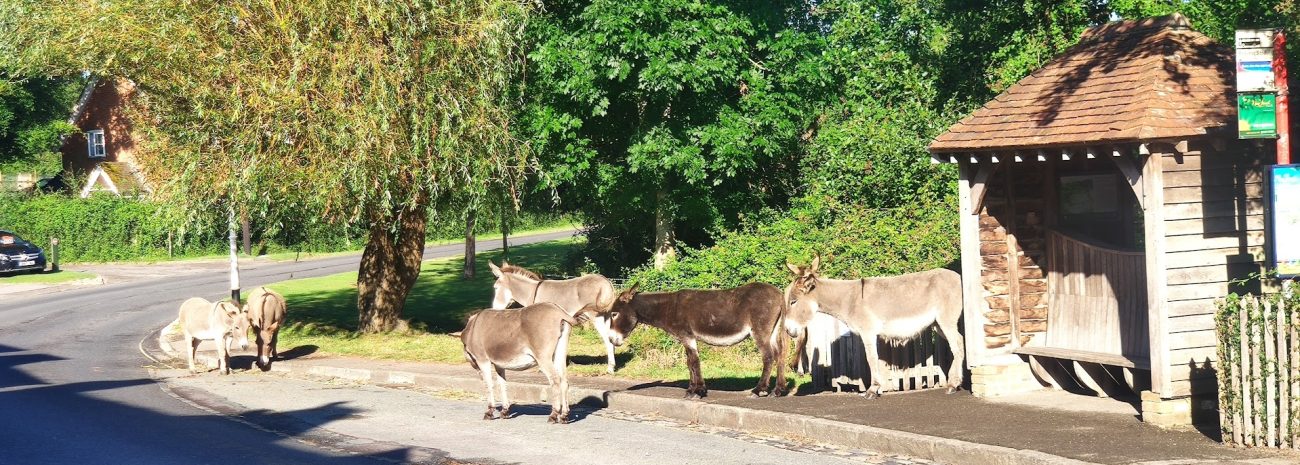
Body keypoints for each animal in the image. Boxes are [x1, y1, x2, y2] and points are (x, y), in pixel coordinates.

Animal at [488, 261, 619, 373]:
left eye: (495, 288)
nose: (494, 308)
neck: (532, 293)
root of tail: (605, 281)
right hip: (607, 315)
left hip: (595, 316)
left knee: (607, 339)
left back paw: (610, 368)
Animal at [606, 282, 789, 399]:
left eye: (614, 314)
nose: (611, 340)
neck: (668, 308)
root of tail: (779, 294)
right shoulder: (687, 338)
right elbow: (689, 363)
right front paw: (692, 389)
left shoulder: (686, 335)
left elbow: (693, 361)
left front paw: (697, 391)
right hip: (772, 330)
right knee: (780, 355)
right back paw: (778, 391)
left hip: (760, 330)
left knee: (768, 356)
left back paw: (759, 390)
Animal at [785, 255, 965, 398]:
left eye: (793, 301)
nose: (787, 330)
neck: (850, 300)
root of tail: (958, 276)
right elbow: (876, 359)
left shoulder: (867, 332)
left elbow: (871, 359)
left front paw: (872, 390)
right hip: (937, 324)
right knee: (961, 342)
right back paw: (957, 382)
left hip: (946, 320)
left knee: (956, 346)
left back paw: (952, 385)